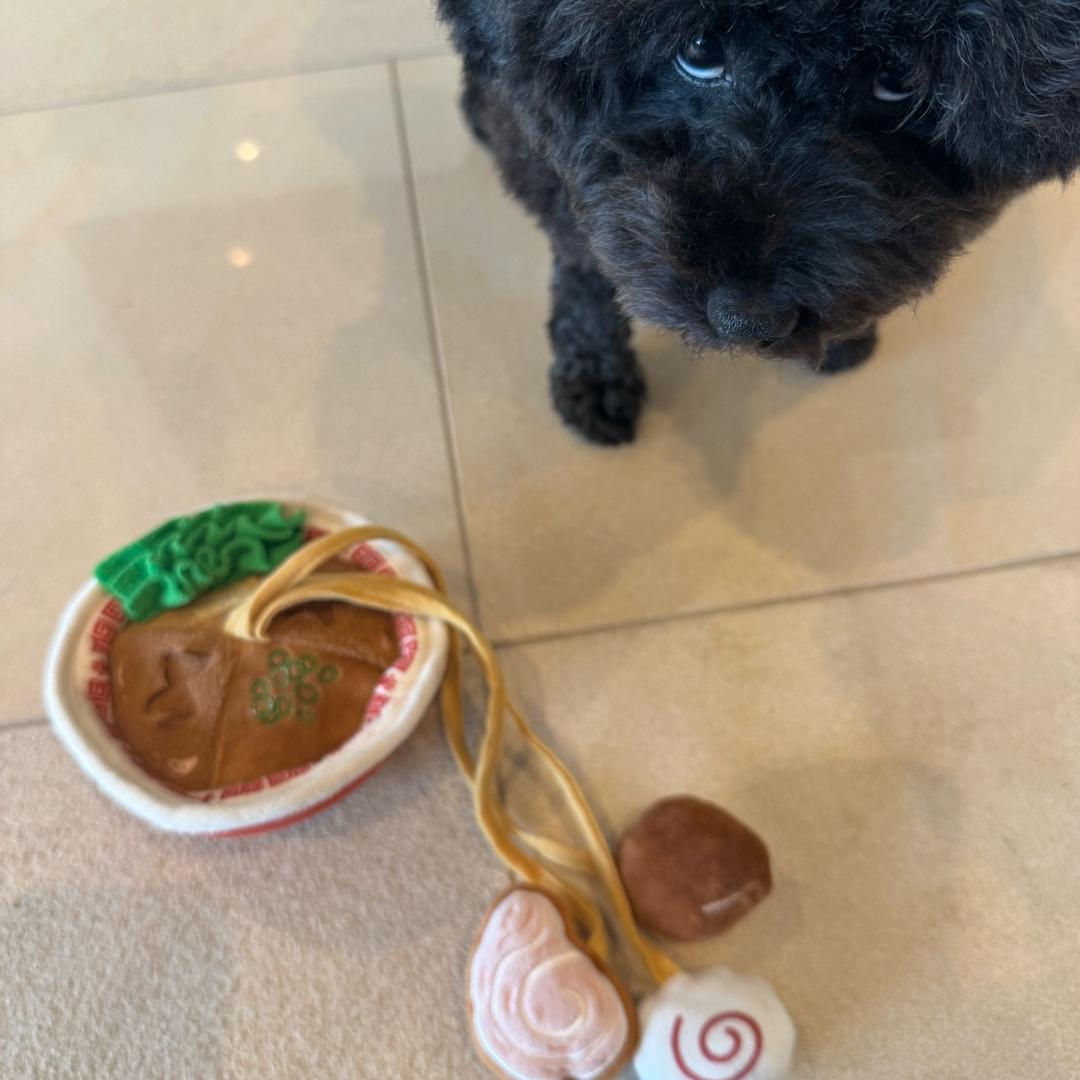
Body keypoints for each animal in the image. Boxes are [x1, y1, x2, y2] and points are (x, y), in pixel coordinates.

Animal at [436, 0, 1080, 444]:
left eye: (898, 83)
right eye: (699, 49)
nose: (747, 321)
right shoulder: (560, 168)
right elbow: (586, 272)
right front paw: (595, 373)